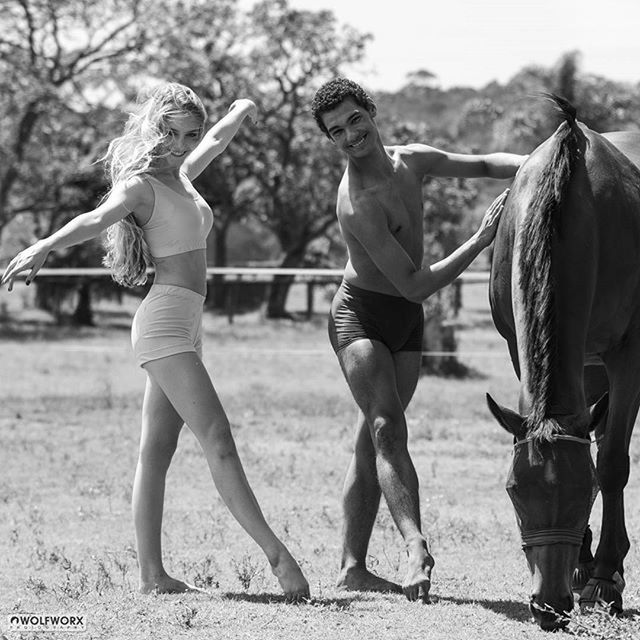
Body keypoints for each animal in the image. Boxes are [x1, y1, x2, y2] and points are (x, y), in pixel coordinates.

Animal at [484, 95, 640, 632]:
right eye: (513, 491)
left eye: (584, 493)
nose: (549, 607)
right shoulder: (520, 347)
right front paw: (586, 567)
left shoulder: (627, 352)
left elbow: (612, 462)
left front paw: (606, 578)